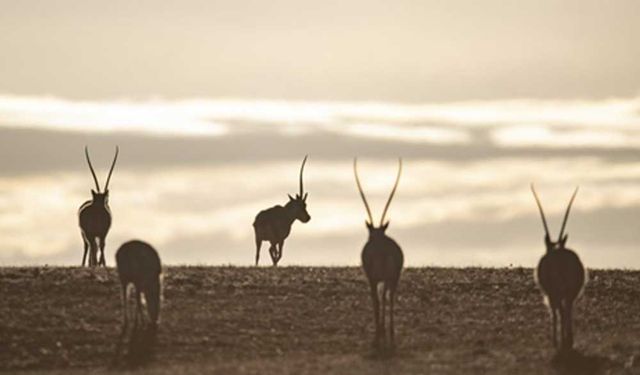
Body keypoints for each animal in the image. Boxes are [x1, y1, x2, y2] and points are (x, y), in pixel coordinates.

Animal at [532, 186, 588, 356]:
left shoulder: (551, 294)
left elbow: (555, 312)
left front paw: (555, 341)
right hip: (569, 292)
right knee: (567, 309)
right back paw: (568, 340)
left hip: (556, 292)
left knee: (561, 311)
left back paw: (563, 341)